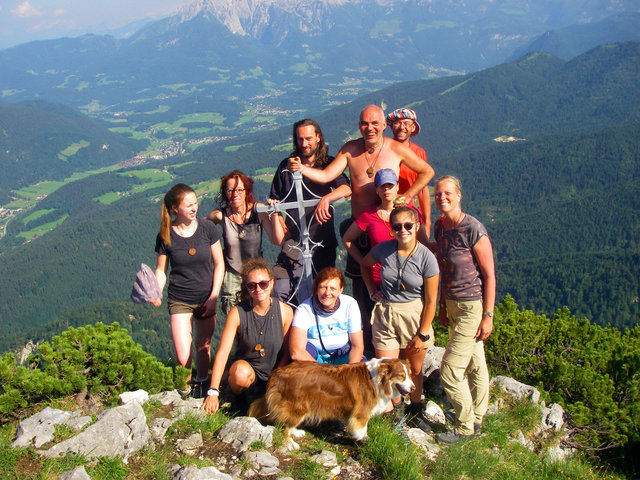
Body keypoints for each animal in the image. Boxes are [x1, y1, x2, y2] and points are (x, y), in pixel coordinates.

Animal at [248, 358, 412, 440]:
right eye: (401, 376)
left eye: (409, 375)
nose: (413, 387)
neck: (378, 379)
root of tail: (277, 372)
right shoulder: (361, 413)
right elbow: (362, 428)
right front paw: (365, 439)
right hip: (298, 406)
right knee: (285, 425)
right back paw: (291, 443)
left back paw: (297, 432)